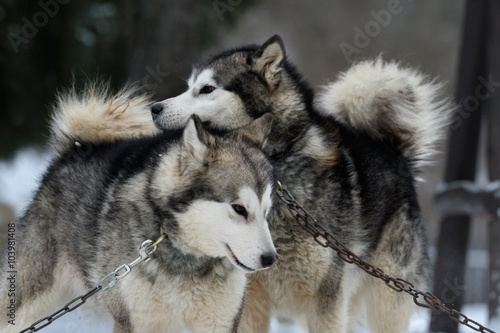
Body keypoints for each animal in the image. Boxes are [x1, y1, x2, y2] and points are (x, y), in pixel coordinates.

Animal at [0, 86, 278, 332]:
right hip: (26, 297)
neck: (186, 256)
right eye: (239, 208)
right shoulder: (134, 322)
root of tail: (76, 148)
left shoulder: (219, 322)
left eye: (266, 210)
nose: (270, 259)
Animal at [149, 35, 454, 330]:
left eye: (207, 89)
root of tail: (394, 152)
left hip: (386, 298)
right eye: (190, 87)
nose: (154, 108)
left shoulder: (326, 299)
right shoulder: (251, 298)